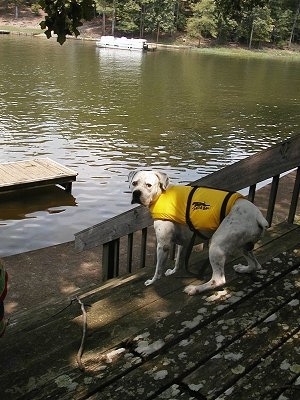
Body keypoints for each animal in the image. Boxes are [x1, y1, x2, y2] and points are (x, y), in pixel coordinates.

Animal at [127, 170, 268, 296]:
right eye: (134, 183)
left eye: (148, 185)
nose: (136, 193)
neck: (162, 193)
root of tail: (258, 216)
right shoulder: (184, 242)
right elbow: (178, 260)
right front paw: (173, 271)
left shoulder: (163, 245)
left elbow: (158, 269)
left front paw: (152, 282)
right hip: (243, 245)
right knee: (256, 265)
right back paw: (243, 268)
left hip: (217, 245)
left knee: (218, 280)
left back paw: (195, 289)